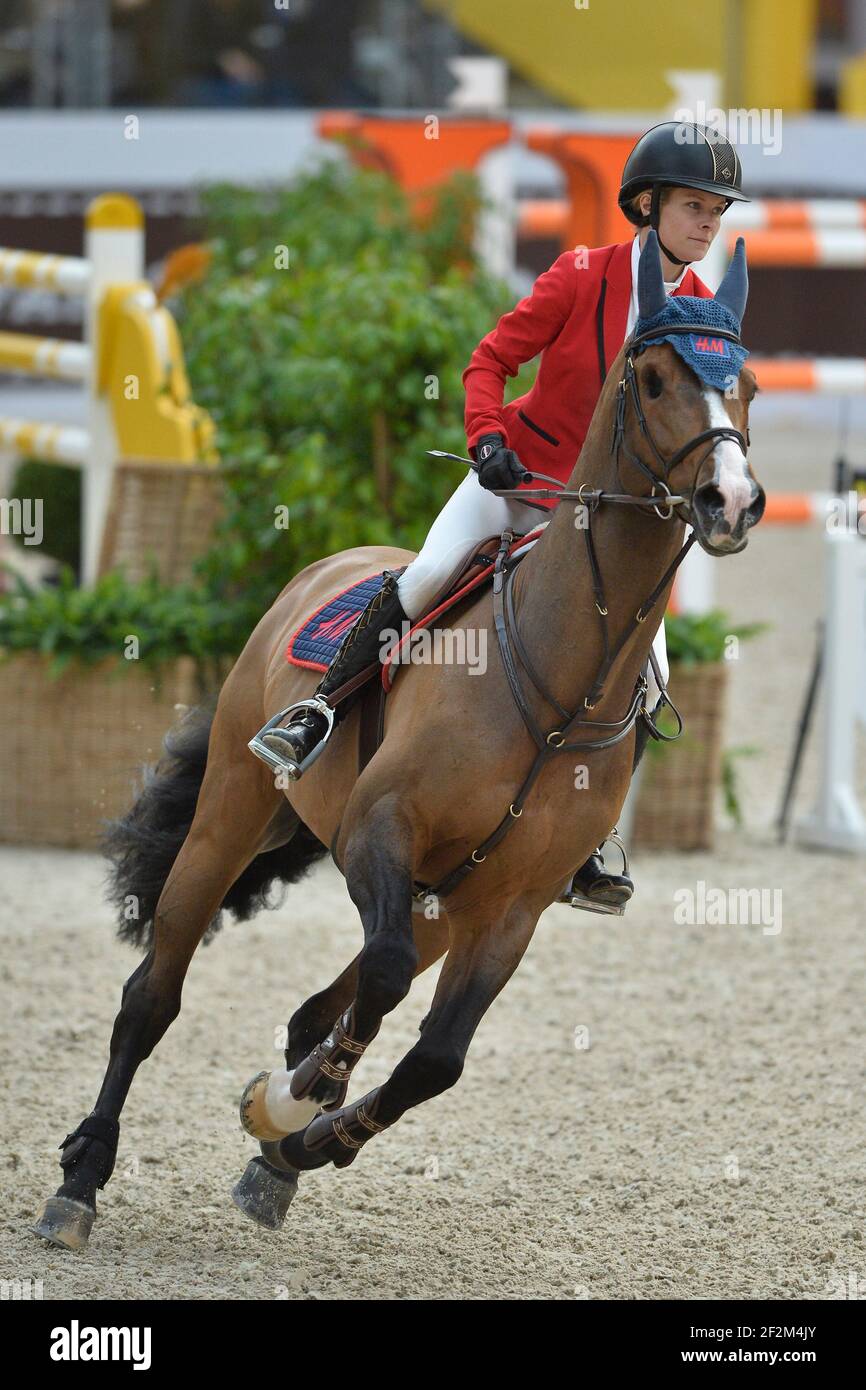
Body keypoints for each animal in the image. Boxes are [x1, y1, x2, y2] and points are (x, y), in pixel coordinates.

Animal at [33, 227, 767, 1251]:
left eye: (750, 387)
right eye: (655, 378)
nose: (731, 501)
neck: (556, 686)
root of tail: (330, 564)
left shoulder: (510, 909)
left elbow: (434, 1060)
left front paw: (302, 1133)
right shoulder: (378, 831)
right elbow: (375, 989)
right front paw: (291, 1108)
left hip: (440, 902)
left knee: (321, 1008)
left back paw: (275, 1159)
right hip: (233, 819)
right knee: (157, 993)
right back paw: (82, 1181)